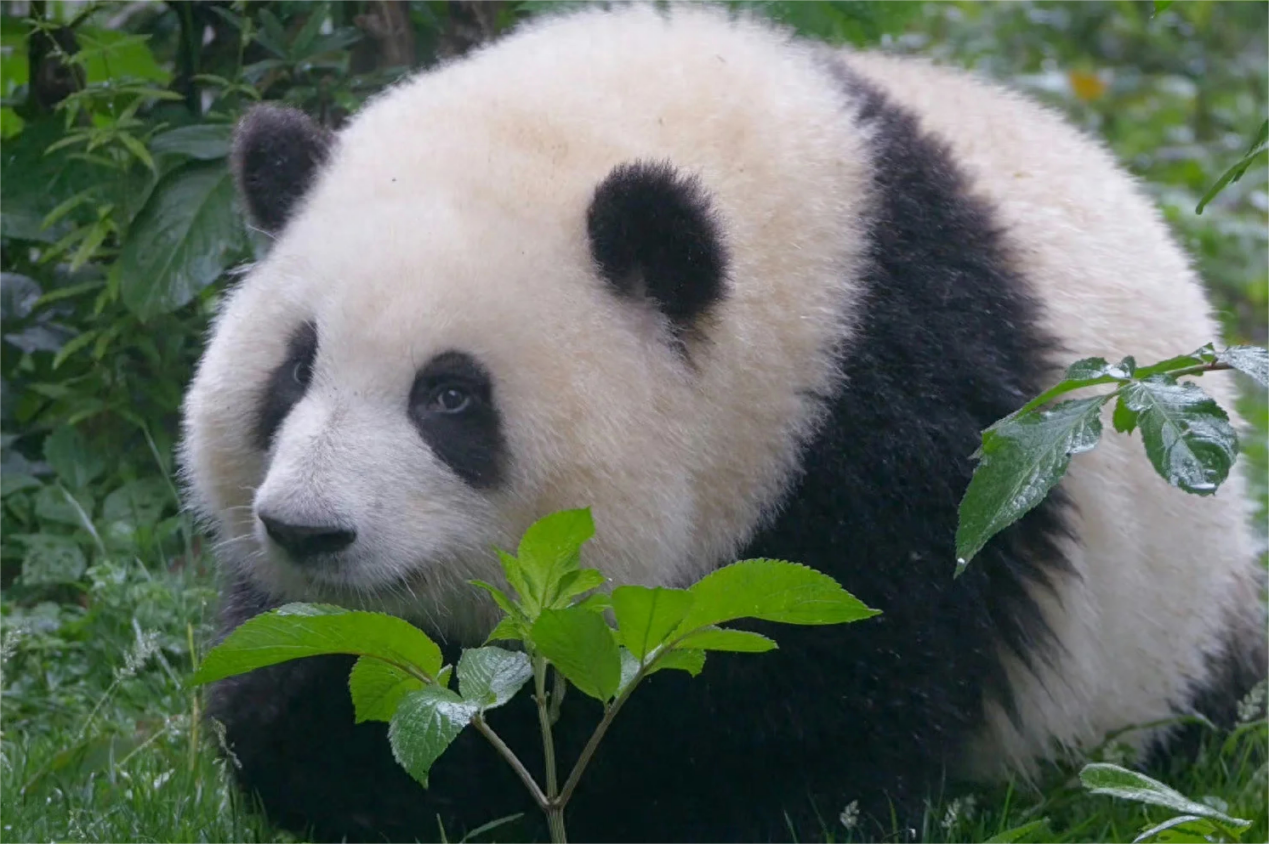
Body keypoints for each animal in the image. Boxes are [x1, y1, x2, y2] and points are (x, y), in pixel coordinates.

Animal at [181, 3, 1269, 837]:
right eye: (295, 368)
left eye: (449, 395)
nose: (307, 529)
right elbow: (308, 677)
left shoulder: (887, 443)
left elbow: (809, 717)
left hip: (1169, 626)